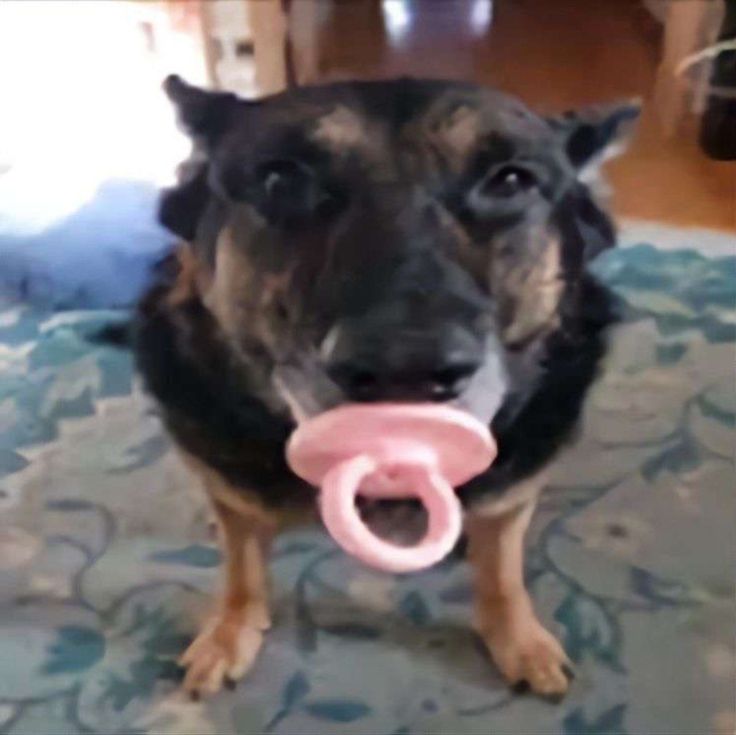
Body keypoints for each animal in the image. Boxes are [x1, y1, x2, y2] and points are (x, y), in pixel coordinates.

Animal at [134, 76, 640, 700]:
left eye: (511, 180)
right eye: (281, 179)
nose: (408, 370)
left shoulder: (513, 489)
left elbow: (503, 566)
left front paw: (519, 638)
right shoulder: (231, 486)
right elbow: (241, 567)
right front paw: (229, 632)